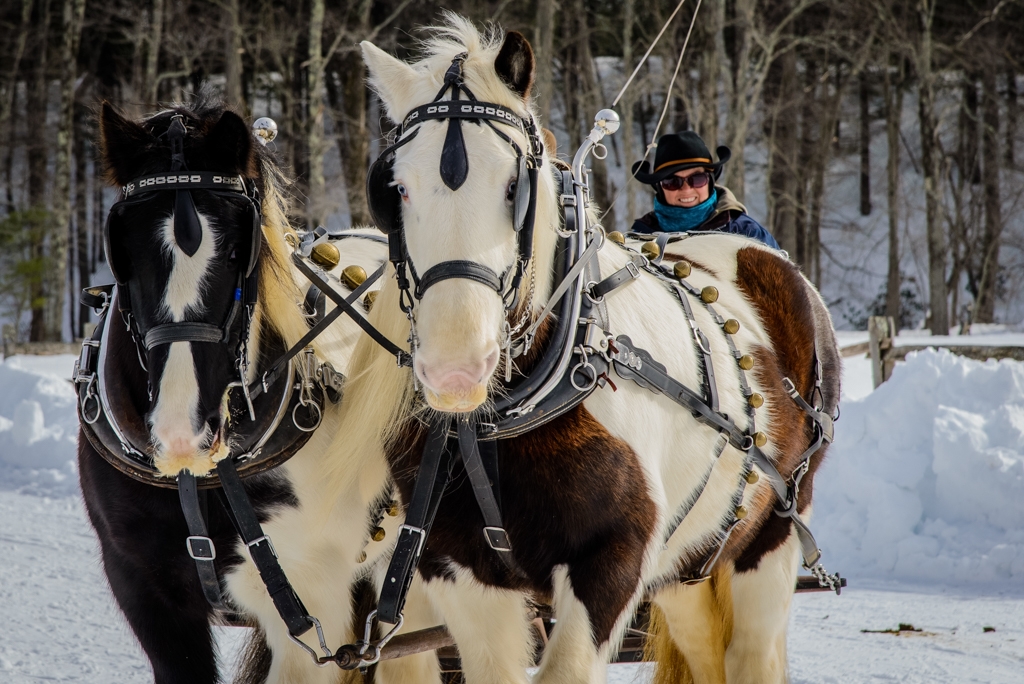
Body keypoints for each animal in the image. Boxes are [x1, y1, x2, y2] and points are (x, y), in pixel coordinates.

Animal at [344, 15, 839, 684]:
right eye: (395, 189)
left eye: (515, 187)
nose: (455, 371)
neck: (510, 412)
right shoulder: (460, 573)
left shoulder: (612, 563)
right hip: (690, 565)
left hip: (771, 538)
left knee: (751, 653)